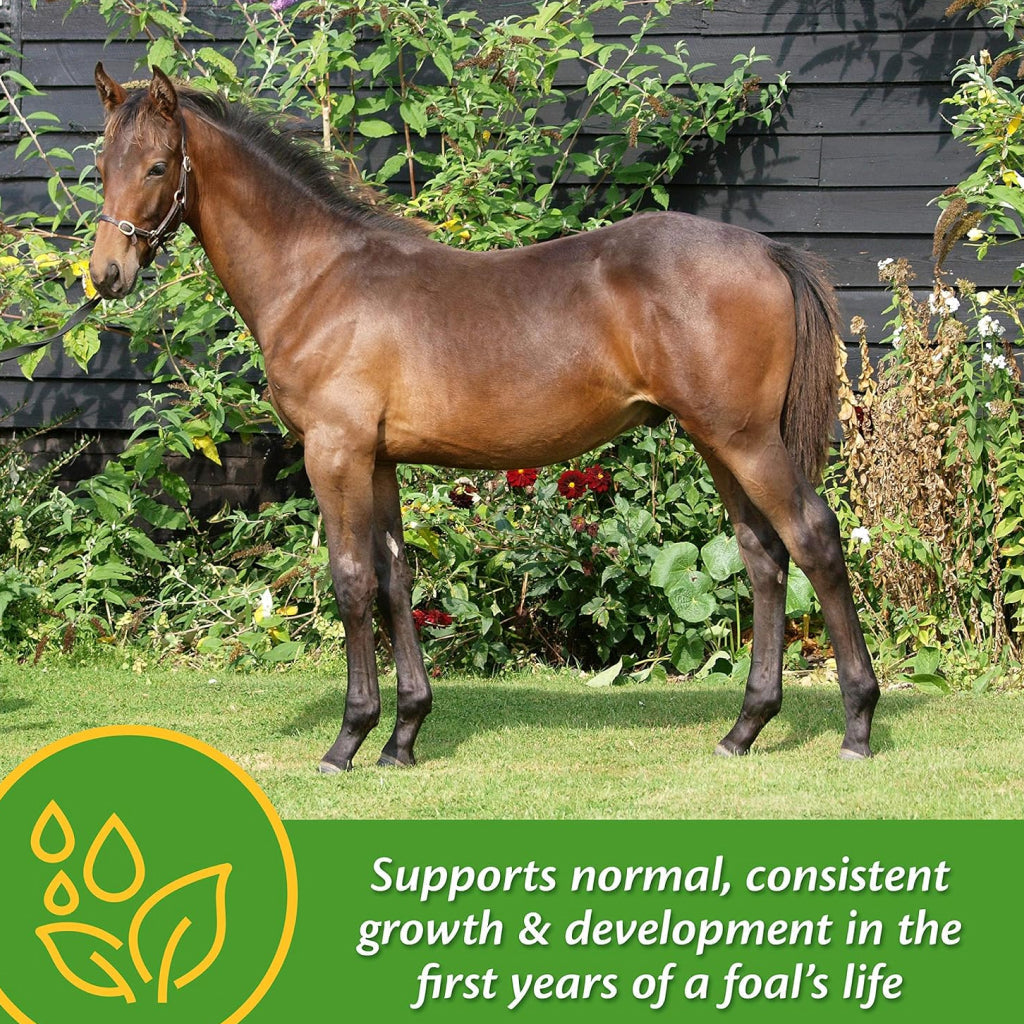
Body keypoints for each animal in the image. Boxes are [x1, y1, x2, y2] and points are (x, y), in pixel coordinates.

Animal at [89, 65, 879, 772]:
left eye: (157, 165)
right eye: (101, 164)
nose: (105, 275)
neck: (317, 278)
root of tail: (767, 251)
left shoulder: (335, 452)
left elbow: (351, 581)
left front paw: (348, 741)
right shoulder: (378, 459)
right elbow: (394, 578)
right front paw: (403, 737)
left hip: (746, 440)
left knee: (812, 538)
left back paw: (858, 724)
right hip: (719, 441)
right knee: (762, 555)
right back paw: (745, 729)